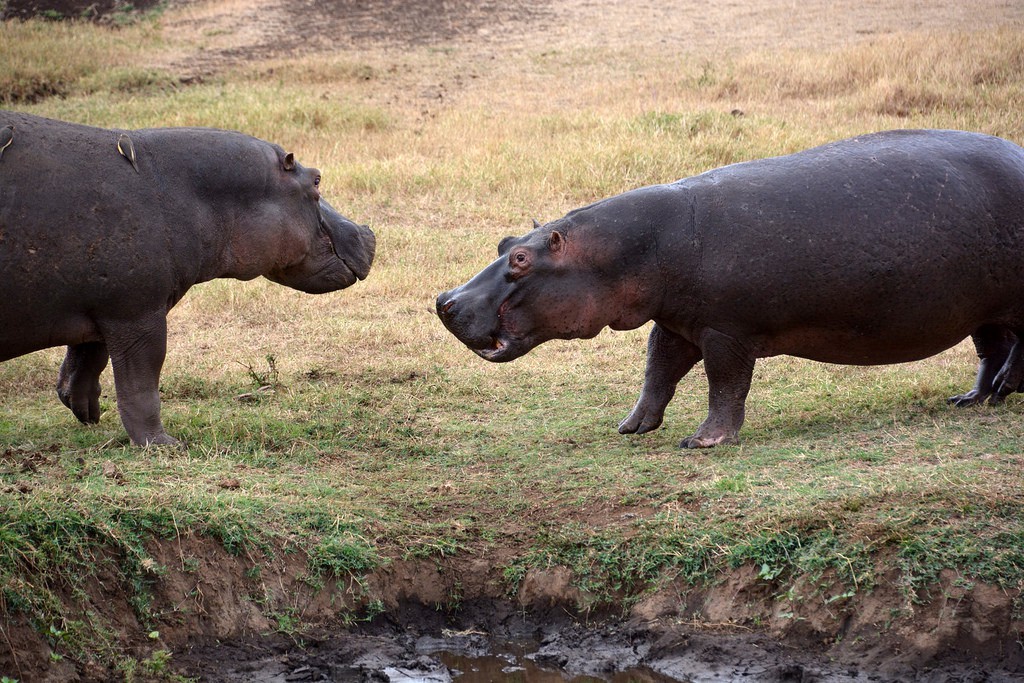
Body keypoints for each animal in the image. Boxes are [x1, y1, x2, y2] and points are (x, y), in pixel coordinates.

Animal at [0, 109, 376, 446]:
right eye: (316, 179)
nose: (368, 233)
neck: (179, 190)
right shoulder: (138, 316)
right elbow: (141, 385)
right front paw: (163, 444)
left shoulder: (102, 307)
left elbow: (84, 364)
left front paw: (88, 415)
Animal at [436, 129, 1024, 448]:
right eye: (504, 241)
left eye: (521, 259)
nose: (445, 301)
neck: (629, 248)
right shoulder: (675, 323)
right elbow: (658, 373)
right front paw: (632, 427)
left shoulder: (726, 330)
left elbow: (724, 385)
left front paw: (702, 441)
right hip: (982, 308)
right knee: (990, 349)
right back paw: (973, 398)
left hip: (1011, 303)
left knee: (1016, 348)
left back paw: (1004, 390)